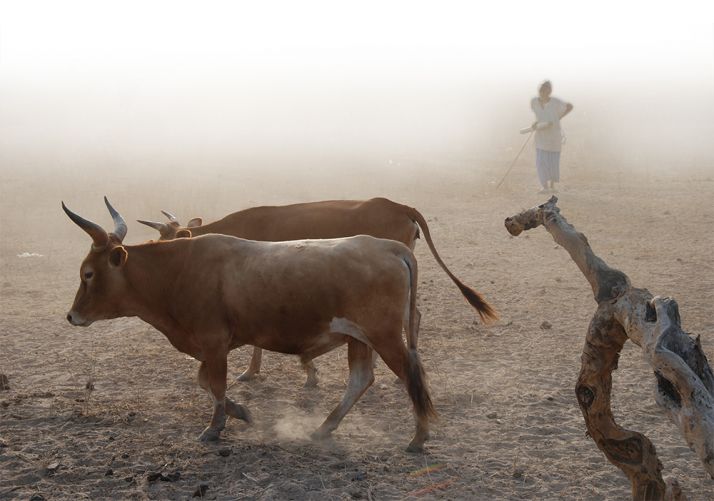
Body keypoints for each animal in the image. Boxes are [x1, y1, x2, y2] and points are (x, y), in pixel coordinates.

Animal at [62, 197, 434, 452]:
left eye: (88, 274)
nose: (71, 316)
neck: (178, 270)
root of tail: (390, 248)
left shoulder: (213, 342)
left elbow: (216, 384)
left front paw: (215, 427)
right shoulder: (216, 345)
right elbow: (206, 382)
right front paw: (241, 412)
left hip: (384, 336)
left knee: (409, 374)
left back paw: (419, 435)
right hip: (360, 337)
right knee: (360, 379)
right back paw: (324, 427)